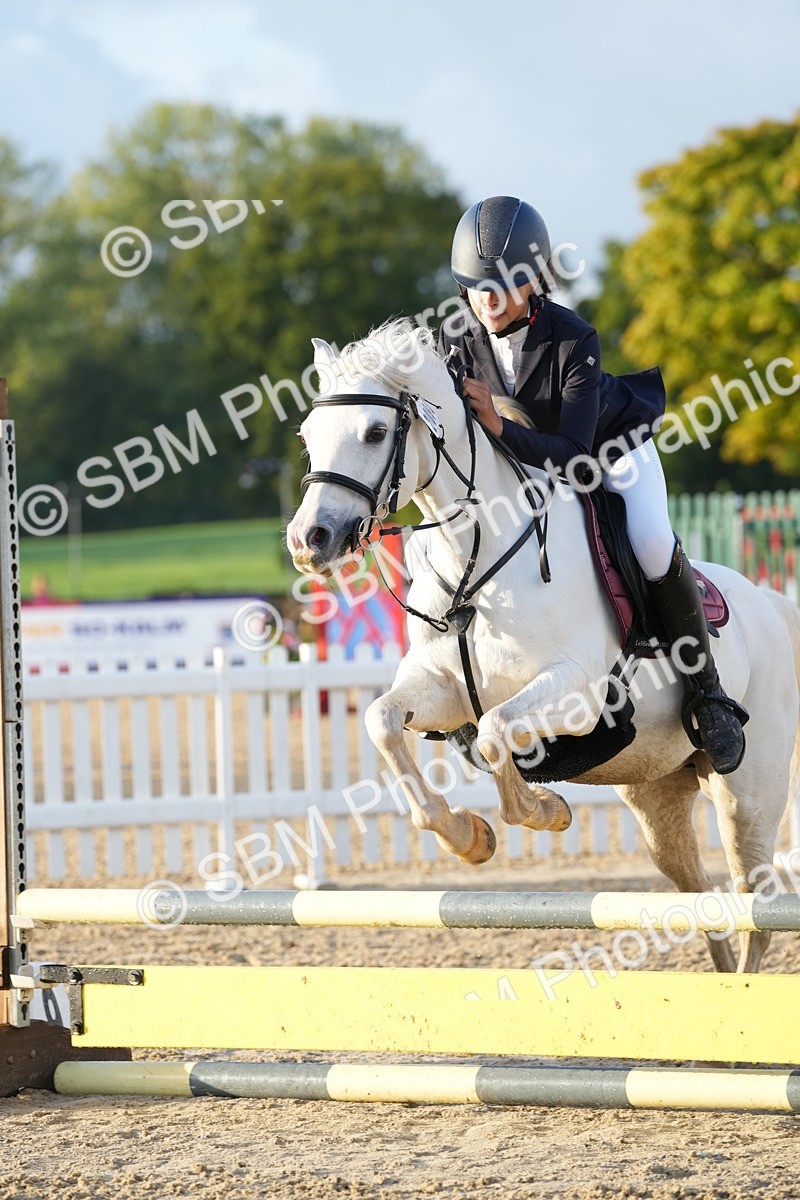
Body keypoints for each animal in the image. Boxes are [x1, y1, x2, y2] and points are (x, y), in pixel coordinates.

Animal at [287, 318, 800, 974]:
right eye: (309, 436)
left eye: (376, 432)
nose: (309, 541)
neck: (479, 553)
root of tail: (769, 601)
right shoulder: (444, 691)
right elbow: (384, 721)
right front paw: (470, 837)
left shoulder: (578, 695)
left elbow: (495, 732)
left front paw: (546, 811)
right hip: (659, 793)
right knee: (700, 897)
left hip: (748, 797)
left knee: (755, 904)